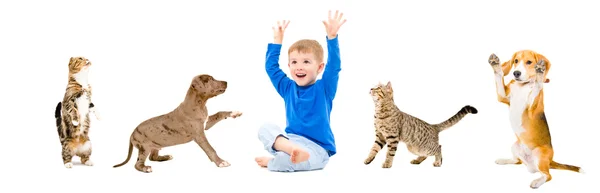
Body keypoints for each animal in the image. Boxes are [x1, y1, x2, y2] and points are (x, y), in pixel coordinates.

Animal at [112, 74, 241, 173]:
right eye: (209, 79)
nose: (226, 82)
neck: (199, 104)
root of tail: (132, 133)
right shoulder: (199, 135)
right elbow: (210, 149)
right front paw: (221, 162)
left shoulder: (206, 123)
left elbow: (220, 113)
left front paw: (234, 113)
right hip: (144, 147)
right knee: (138, 163)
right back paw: (146, 168)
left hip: (155, 145)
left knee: (153, 157)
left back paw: (165, 157)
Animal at [488, 50, 580, 189]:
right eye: (516, 61)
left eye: (529, 62)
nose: (516, 73)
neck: (523, 85)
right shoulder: (503, 97)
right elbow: (499, 76)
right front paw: (496, 65)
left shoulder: (531, 110)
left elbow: (537, 85)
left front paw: (539, 74)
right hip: (515, 145)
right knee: (517, 161)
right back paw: (504, 160)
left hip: (539, 154)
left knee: (548, 175)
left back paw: (537, 181)